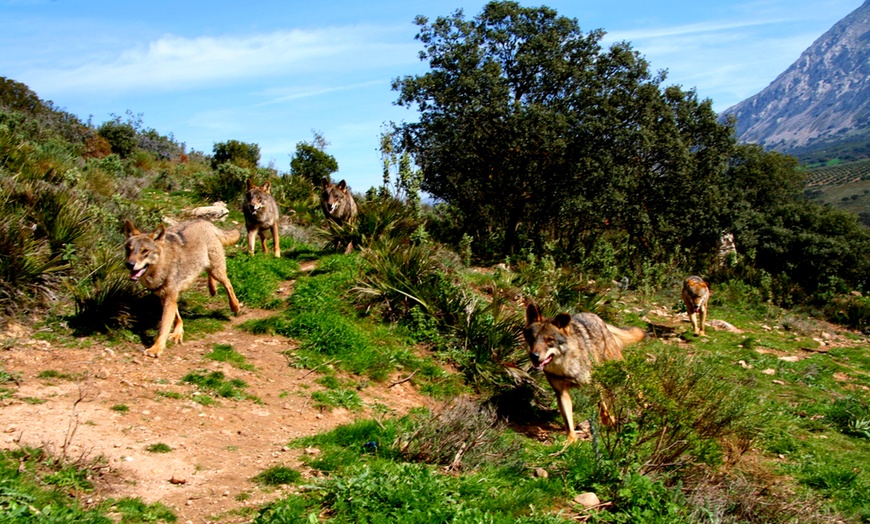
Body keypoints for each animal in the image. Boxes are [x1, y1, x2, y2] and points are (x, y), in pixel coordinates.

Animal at [123, 219, 241, 358]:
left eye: (144, 251)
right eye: (129, 249)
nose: (129, 264)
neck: (162, 266)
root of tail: (205, 221)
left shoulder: (170, 297)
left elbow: (163, 328)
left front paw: (156, 349)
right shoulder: (166, 297)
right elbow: (176, 317)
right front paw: (177, 333)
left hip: (217, 270)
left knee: (228, 284)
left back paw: (235, 306)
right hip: (207, 267)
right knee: (212, 277)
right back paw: (212, 289)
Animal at [524, 303, 645, 442]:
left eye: (549, 340)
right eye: (532, 339)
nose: (534, 356)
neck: (566, 367)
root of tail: (594, 315)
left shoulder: (594, 385)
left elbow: (603, 408)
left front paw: (608, 420)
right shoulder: (561, 393)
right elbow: (568, 422)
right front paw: (570, 441)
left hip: (620, 372)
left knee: (634, 386)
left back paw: (645, 405)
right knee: (612, 394)